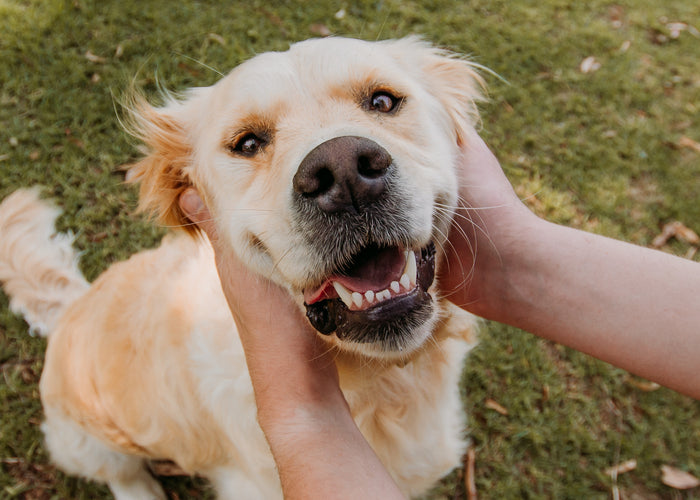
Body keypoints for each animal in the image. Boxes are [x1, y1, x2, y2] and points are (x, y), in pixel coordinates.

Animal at [0, 37, 482, 498]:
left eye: (382, 101)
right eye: (247, 144)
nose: (344, 172)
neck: (383, 382)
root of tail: (70, 307)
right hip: (87, 440)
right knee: (121, 475)